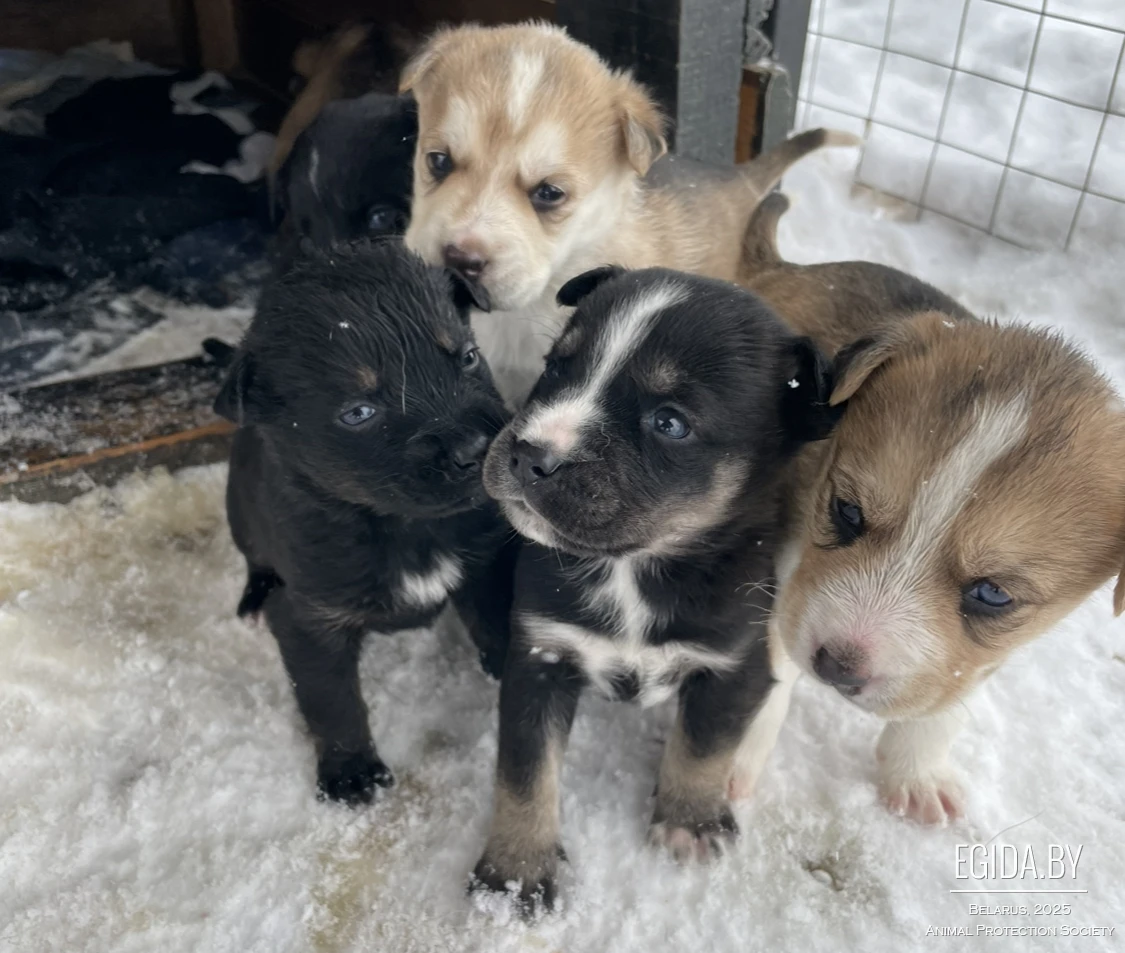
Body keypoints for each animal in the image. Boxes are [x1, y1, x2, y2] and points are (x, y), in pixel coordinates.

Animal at [214, 240, 515, 804]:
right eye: (358, 412)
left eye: (468, 357)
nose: (477, 449)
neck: (405, 526)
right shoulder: (311, 618)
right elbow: (332, 700)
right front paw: (351, 771)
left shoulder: (485, 563)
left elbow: (495, 620)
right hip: (240, 514)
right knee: (254, 560)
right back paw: (251, 600)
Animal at [468, 264, 838, 914]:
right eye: (556, 367)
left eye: (670, 423)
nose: (529, 454)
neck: (632, 569)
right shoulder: (539, 656)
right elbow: (524, 773)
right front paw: (513, 874)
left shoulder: (732, 664)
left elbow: (703, 748)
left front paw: (690, 823)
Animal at [727, 193, 1125, 824]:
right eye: (846, 511)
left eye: (993, 595)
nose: (836, 668)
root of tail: (786, 268)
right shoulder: (782, 575)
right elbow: (766, 677)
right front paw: (733, 761)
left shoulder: (983, 657)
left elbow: (943, 705)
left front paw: (916, 774)